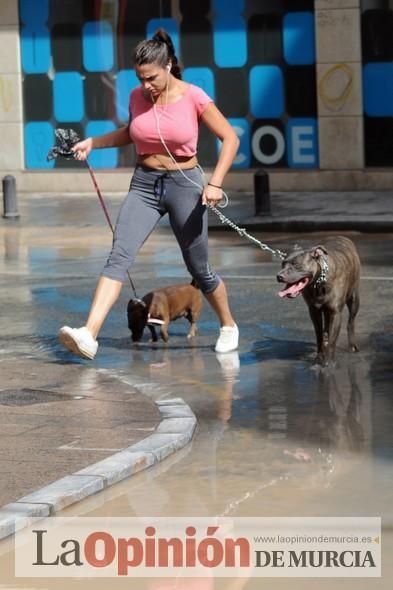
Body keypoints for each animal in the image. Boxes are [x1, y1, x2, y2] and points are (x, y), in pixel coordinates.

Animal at [274, 236, 360, 366]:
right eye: (283, 264)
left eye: (297, 265)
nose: (279, 276)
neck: (319, 281)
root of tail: (342, 237)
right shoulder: (314, 311)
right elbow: (319, 335)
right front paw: (319, 357)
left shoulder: (335, 312)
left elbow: (333, 340)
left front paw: (329, 361)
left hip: (354, 299)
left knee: (351, 322)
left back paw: (352, 346)